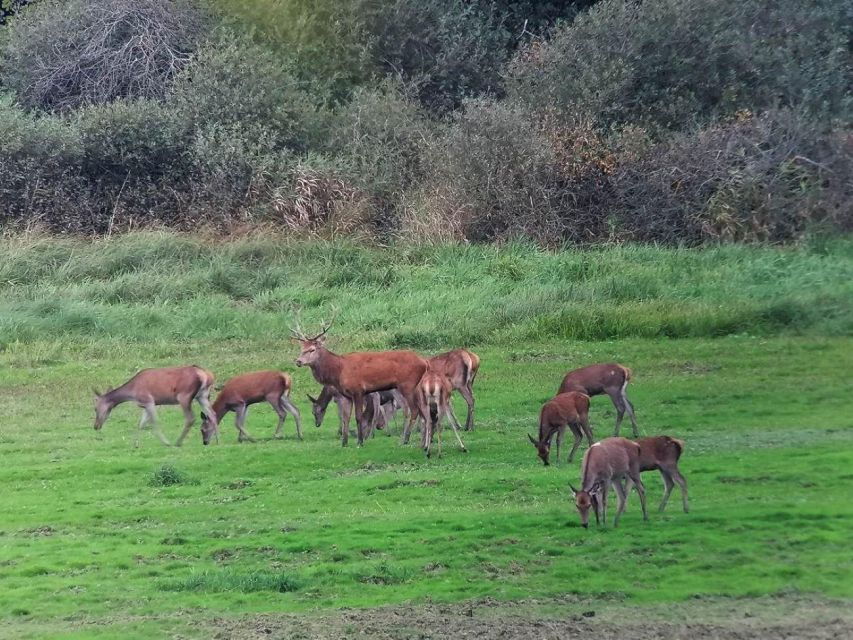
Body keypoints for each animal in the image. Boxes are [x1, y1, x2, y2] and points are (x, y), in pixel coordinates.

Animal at [291, 312, 428, 447]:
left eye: (312, 349)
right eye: (301, 349)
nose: (298, 361)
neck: (339, 371)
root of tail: (424, 362)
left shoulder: (358, 390)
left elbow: (358, 417)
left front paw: (360, 442)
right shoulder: (346, 395)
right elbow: (346, 418)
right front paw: (344, 443)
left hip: (407, 385)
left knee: (414, 410)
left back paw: (405, 439)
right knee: (423, 409)